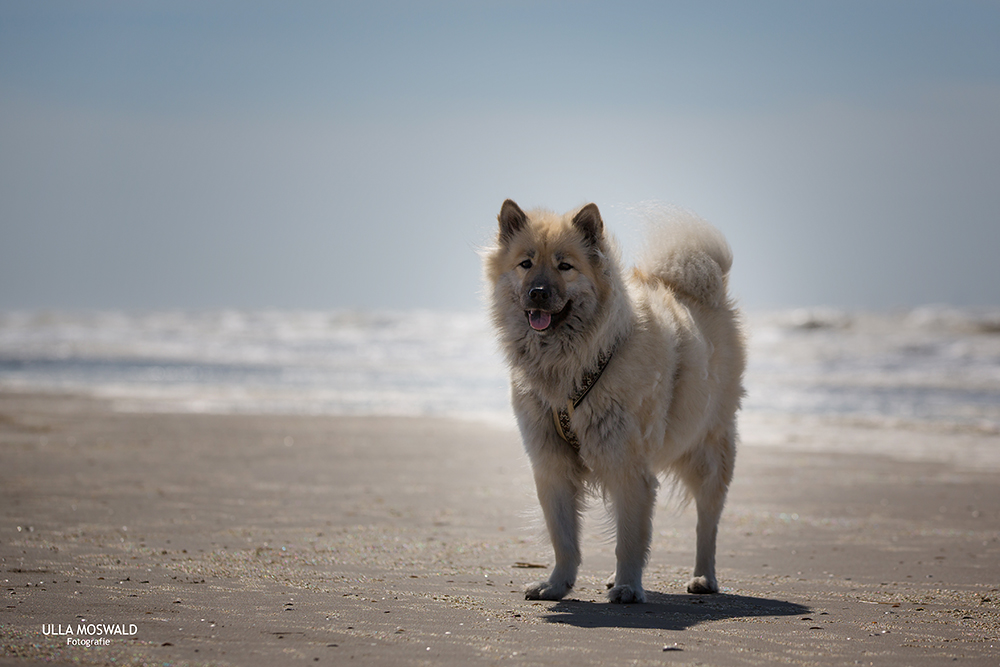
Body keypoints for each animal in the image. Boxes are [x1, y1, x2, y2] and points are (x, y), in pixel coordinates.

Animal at [480, 200, 748, 604]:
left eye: (565, 266)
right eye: (525, 263)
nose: (538, 292)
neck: (574, 364)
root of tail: (706, 291)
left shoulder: (627, 468)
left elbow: (630, 539)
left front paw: (627, 587)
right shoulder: (552, 466)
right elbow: (564, 539)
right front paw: (557, 584)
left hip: (709, 454)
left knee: (707, 524)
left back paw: (704, 578)